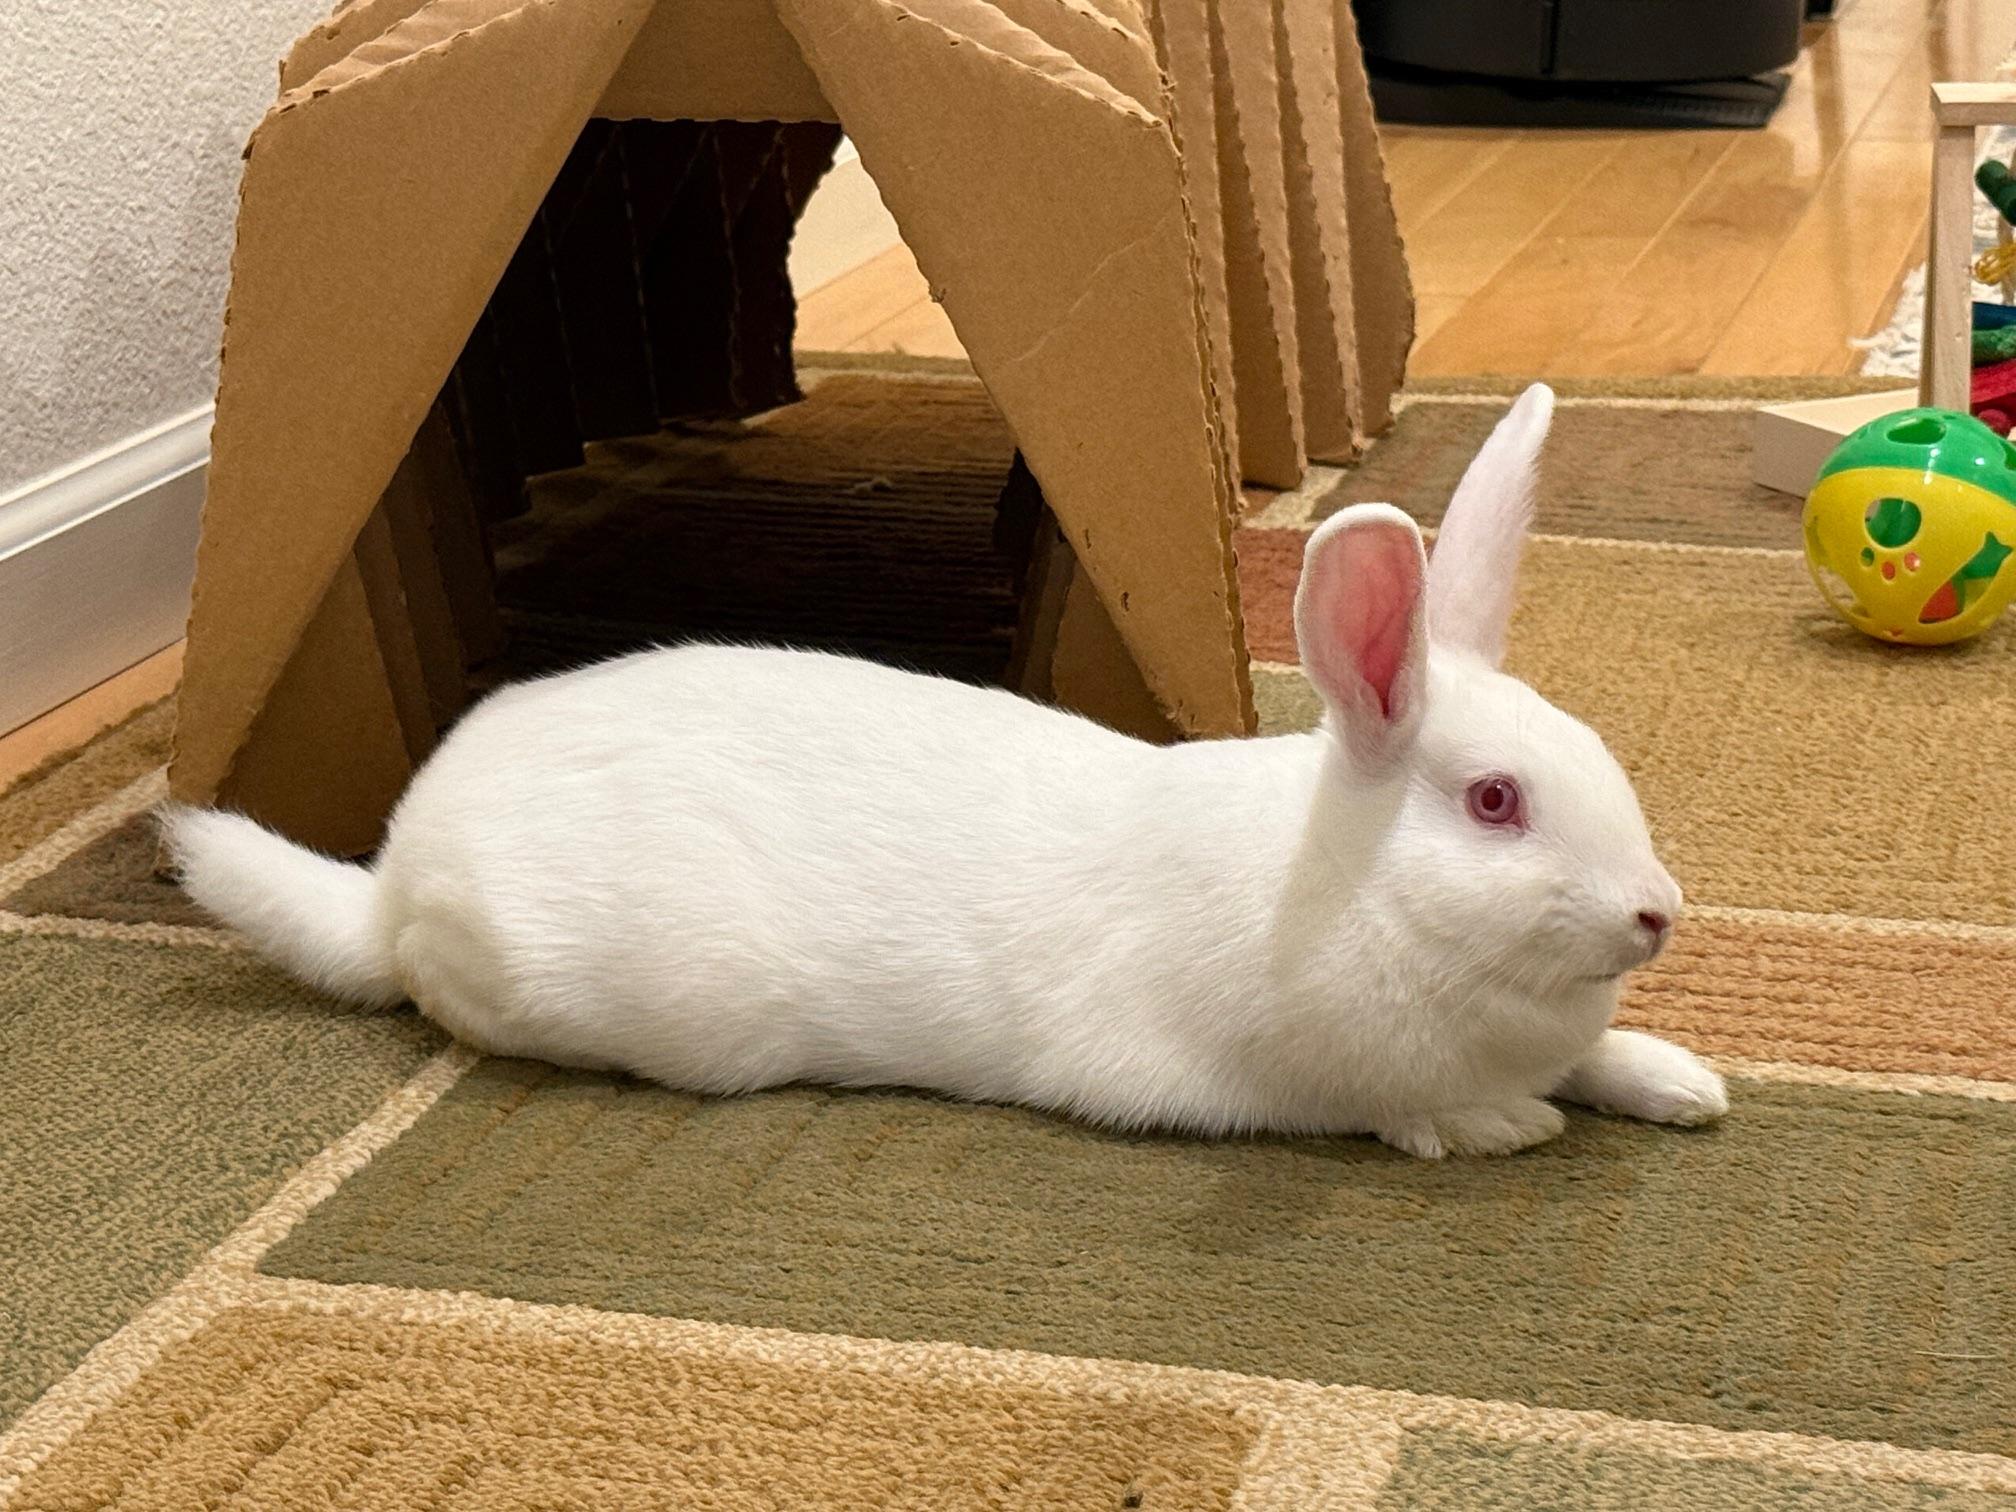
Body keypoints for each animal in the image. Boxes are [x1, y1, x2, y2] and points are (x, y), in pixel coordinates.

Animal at [164, 382, 1726, 1158]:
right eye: (1494, 802)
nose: (1656, 912)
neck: (1352, 889)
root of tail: (395, 876)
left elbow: (1608, 1058)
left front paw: (1684, 1084)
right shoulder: (1287, 1081)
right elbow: (1412, 1114)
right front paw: (1507, 1124)